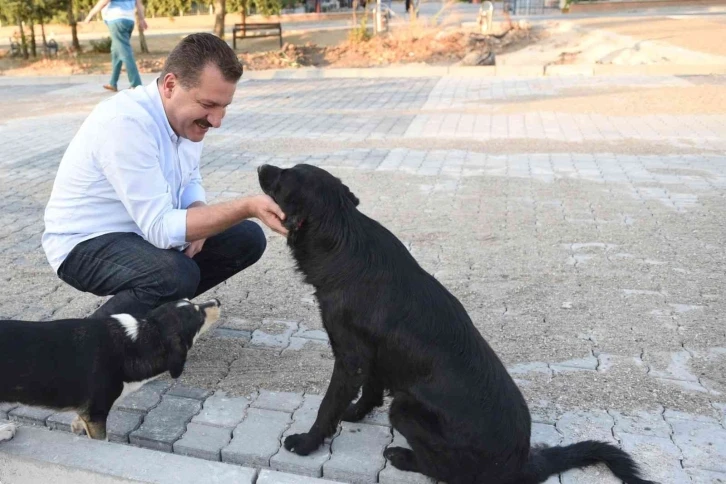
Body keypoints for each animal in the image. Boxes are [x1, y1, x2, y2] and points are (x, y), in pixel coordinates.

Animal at [0, 296, 222, 440]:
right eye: (199, 315)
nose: (217, 301)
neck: (138, 339)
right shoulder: (97, 413)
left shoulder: (89, 413)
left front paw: (76, 426)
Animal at [258, 164, 656, 484]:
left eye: (284, 177)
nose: (262, 165)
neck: (342, 236)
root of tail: (522, 463)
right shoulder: (373, 353)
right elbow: (370, 388)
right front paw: (356, 412)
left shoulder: (350, 355)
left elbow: (328, 406)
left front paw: (307, 442)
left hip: (405, 409)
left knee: (448, 472)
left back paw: (404, 457)